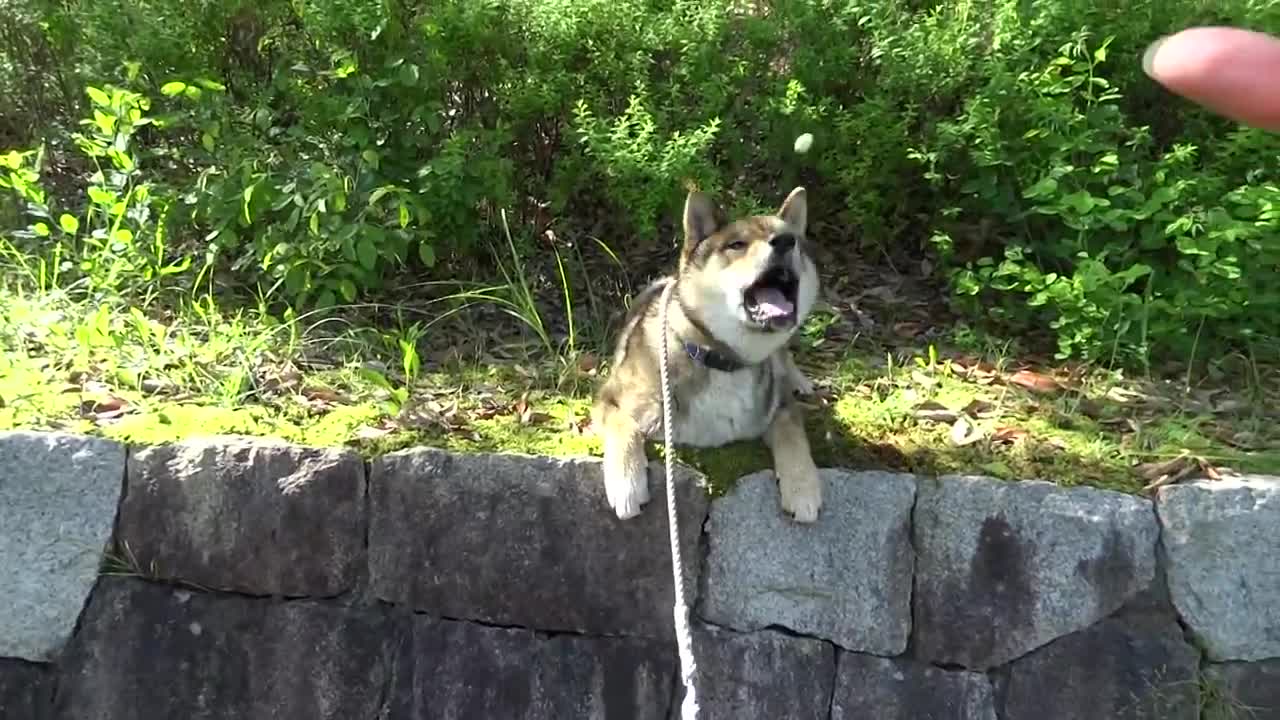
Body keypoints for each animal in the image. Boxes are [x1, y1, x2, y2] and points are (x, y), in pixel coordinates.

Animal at [593, 184, 824, 520]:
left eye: (791, 238)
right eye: (737, 245)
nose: (786, 242)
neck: (720, 360)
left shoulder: (781, 407)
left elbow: (794, 437)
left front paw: (803, 488)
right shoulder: (610, 399)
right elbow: (625, 428)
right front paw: (627, 483)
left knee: (784, 354)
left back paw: (799, 380)